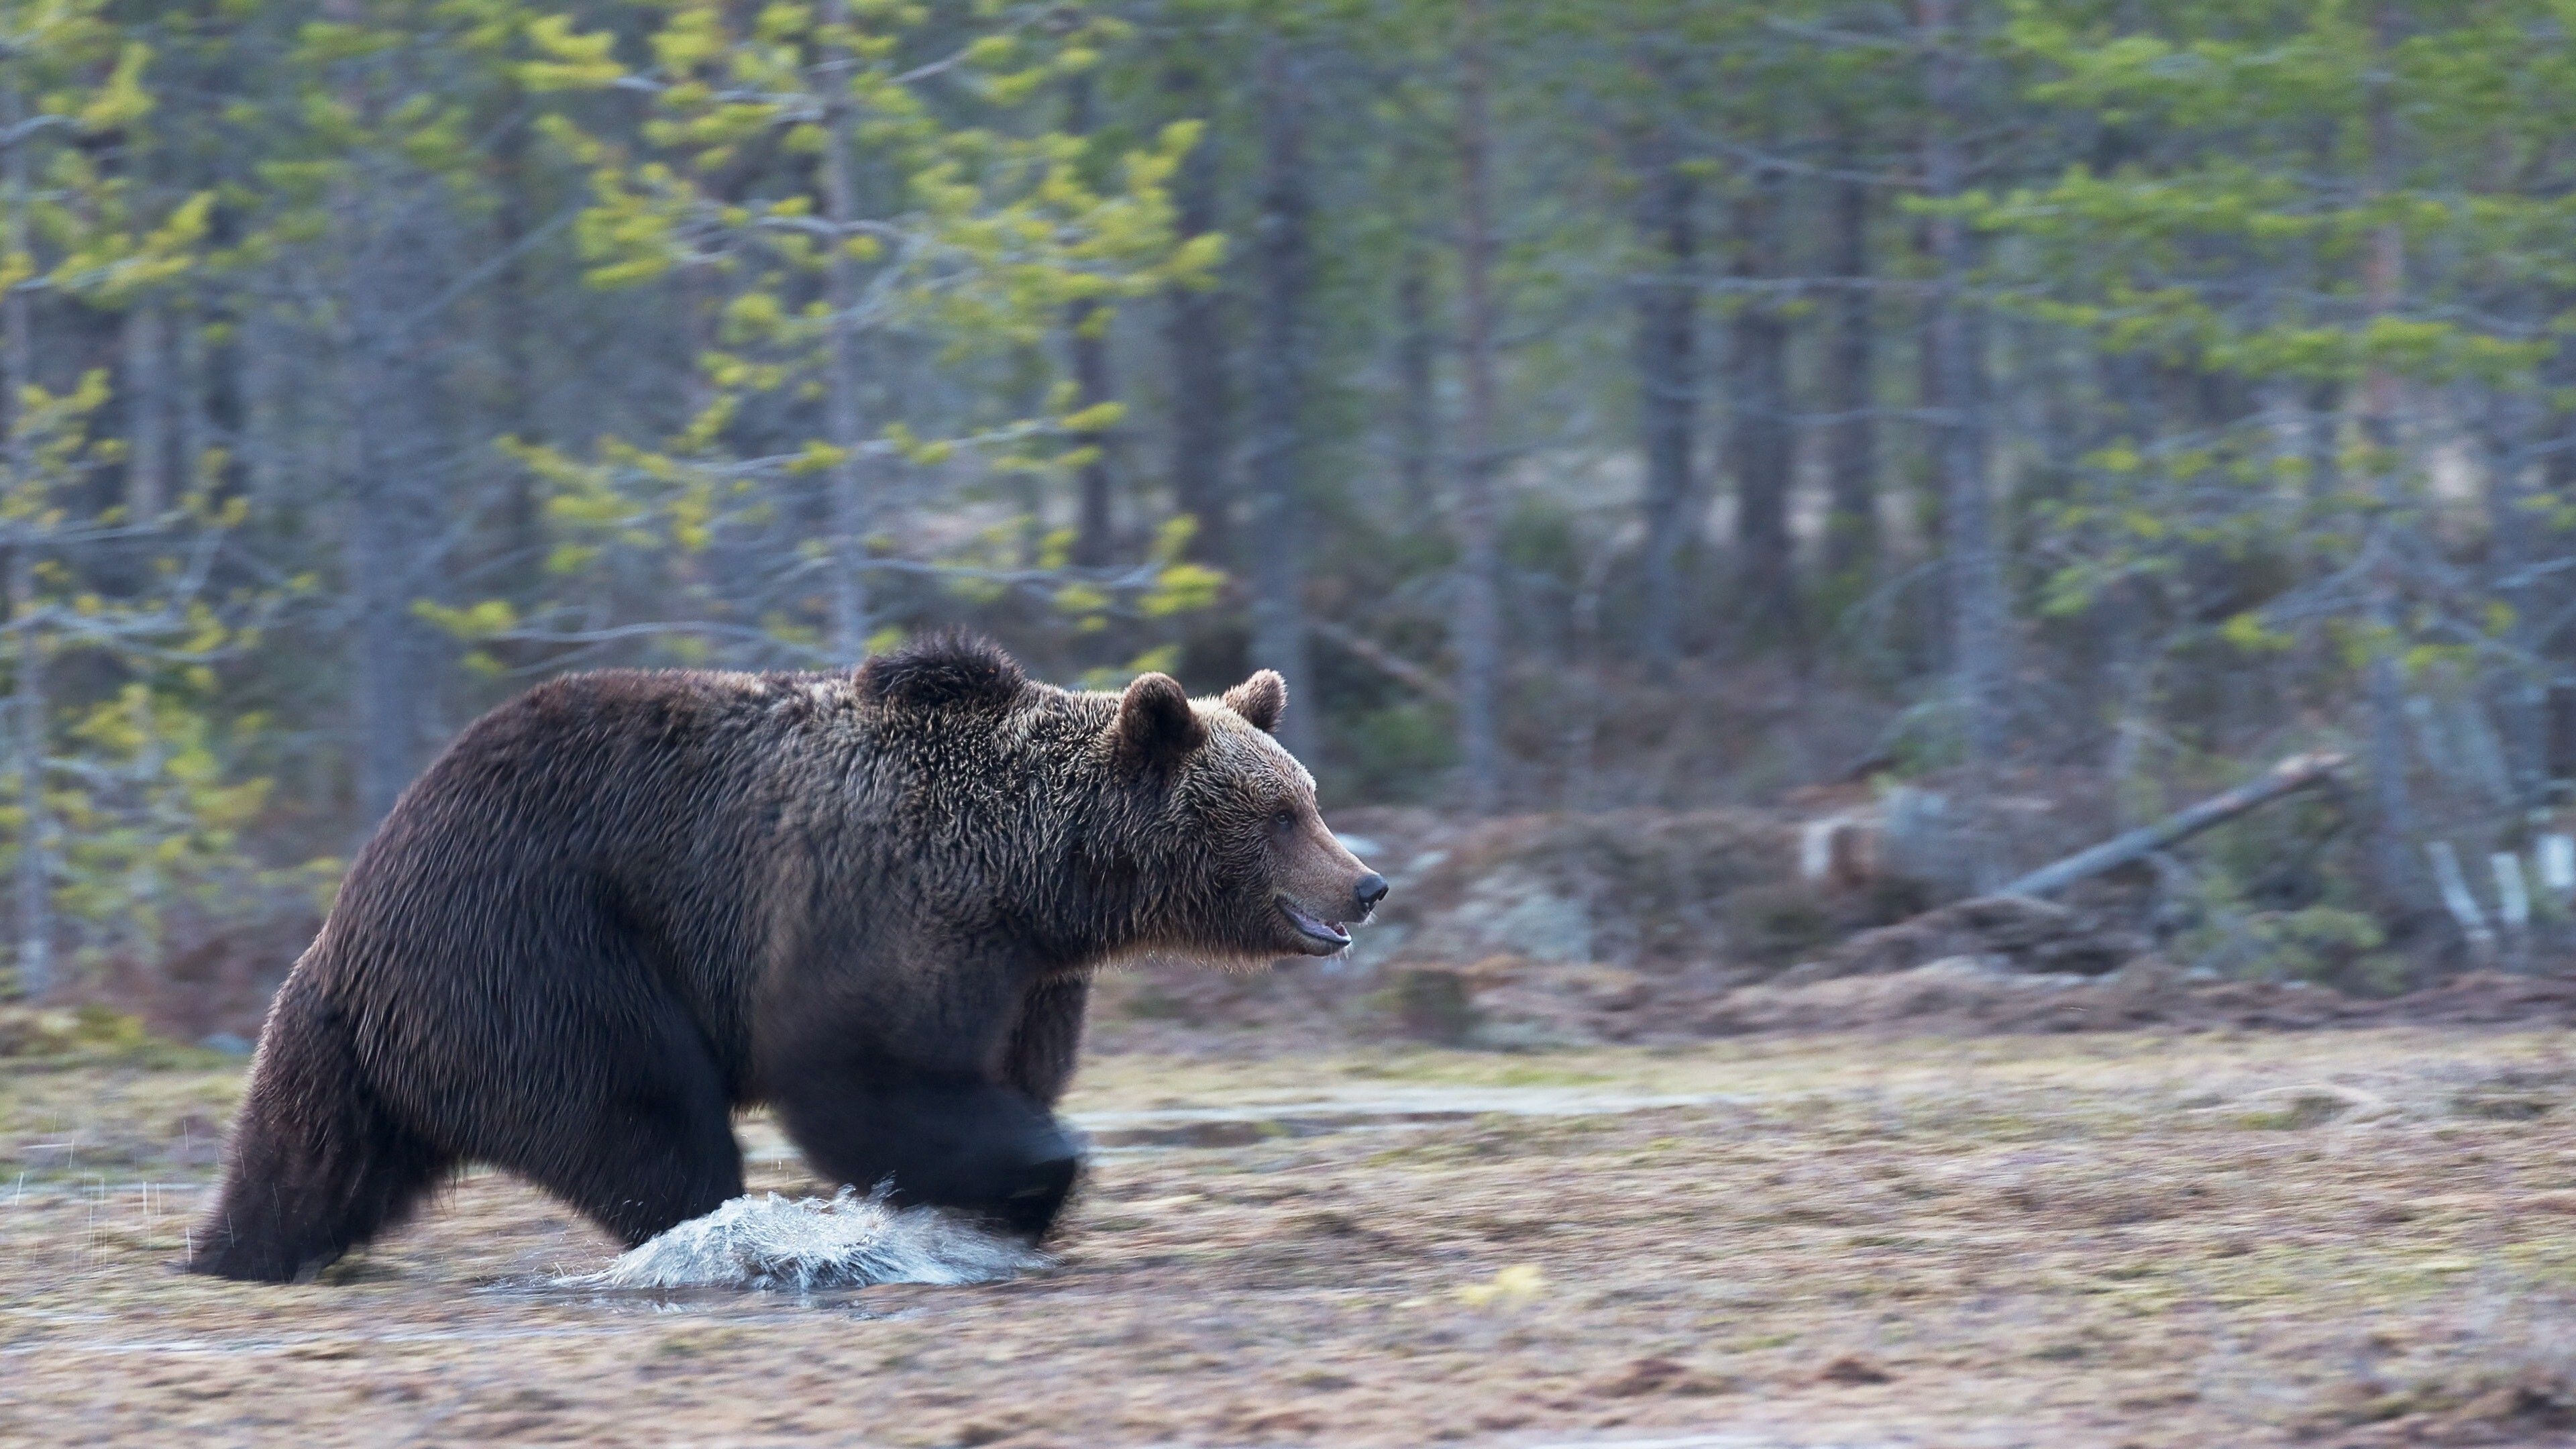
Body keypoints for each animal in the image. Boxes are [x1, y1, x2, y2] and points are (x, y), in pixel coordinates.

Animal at [188, 631, 1381, 1273]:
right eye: (1282, 813)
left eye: (1310, 796)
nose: (1366, 883)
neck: (1040, 881)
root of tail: (355, 908)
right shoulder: (888, 906)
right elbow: (862, 1072)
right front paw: (1022, 1180)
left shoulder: (1030, 975)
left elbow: (998, 1071)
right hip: (542, 951)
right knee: (641, 1117)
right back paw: (715, 1230)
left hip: (377, 1030)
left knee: (312, 1153)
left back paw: (239, 1250)